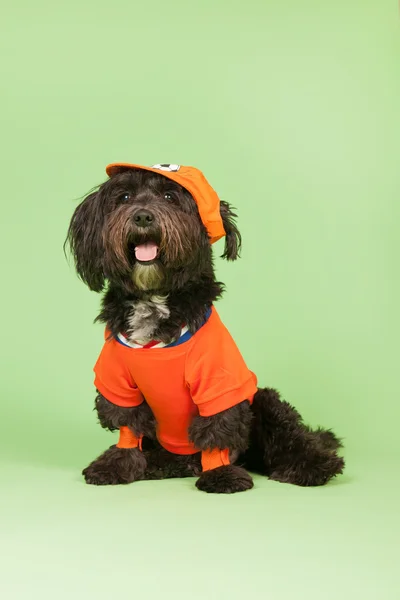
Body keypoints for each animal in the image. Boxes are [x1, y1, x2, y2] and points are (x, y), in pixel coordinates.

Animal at [65, 161, 344, 492]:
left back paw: (314, 463)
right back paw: (159, 463)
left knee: (290, 434)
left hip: (262, 399)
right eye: (124, 197)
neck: (155, 298)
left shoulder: (218, 382)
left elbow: (218, 428)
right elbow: (127, 426)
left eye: (170, 197)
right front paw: (117, 464)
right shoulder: (118, 382)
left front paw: (220, 474)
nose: (143, 216)